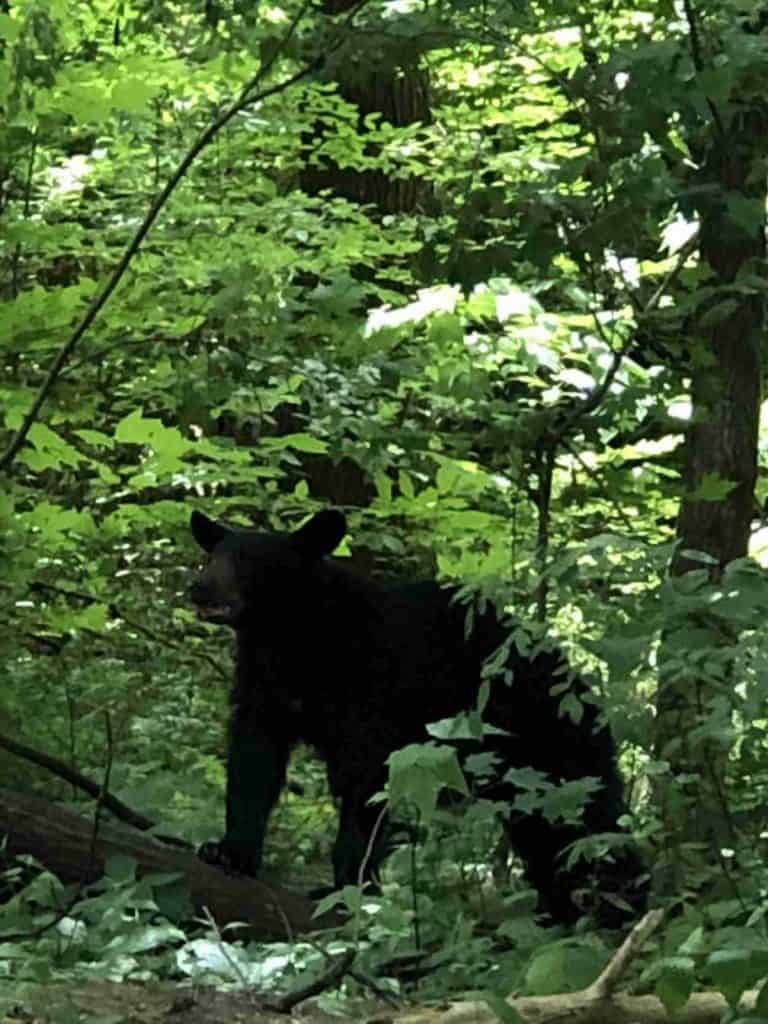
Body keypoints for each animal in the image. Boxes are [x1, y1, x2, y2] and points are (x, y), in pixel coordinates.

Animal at [189, 507, 645, 926]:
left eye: (249, 560)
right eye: (213, 555)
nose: (199, 588)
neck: (292, 640)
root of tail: (579, 685)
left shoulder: (373, 690)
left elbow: (365, 784)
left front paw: (348, 886)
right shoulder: (264, 691)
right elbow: (254, 765)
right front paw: (228, 851)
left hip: (555, 742)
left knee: (591, 817)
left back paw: (620, 904)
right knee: (544, 833)